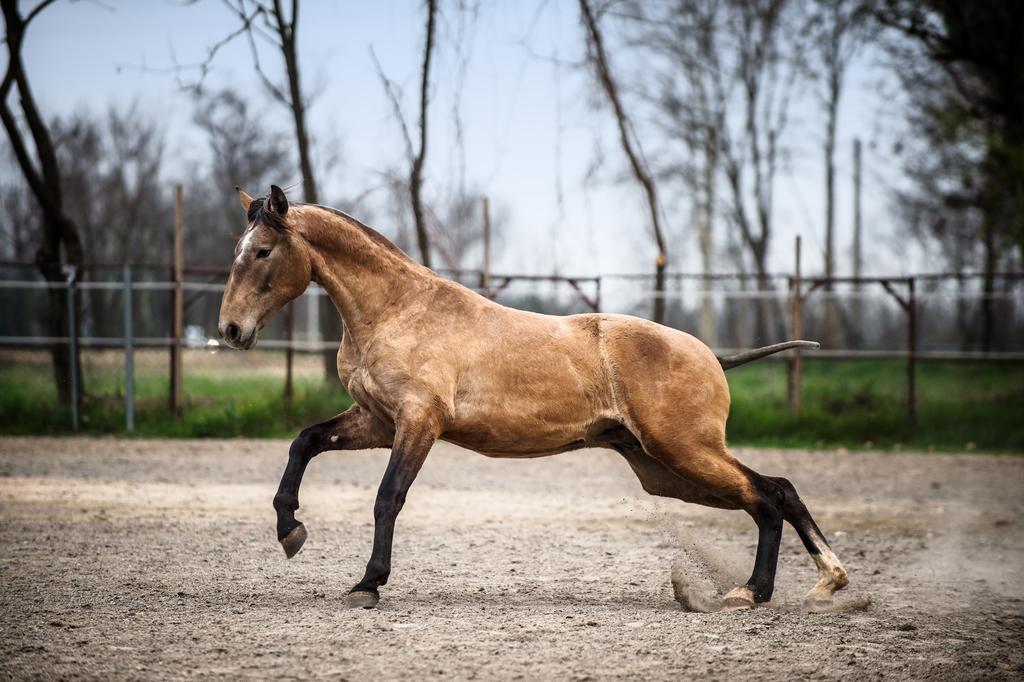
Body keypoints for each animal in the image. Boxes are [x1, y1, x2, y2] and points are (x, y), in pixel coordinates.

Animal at [216, 183, 847, 606]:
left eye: (263, 252)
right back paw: (818, 583)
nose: (231, 331)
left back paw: (757, 592)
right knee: (775, 492)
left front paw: (367, 585)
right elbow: (304, 442)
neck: (398, 311)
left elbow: (387, 497)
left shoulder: (418, 423)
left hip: (685, 452)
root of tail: (711, 356)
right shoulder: (376, 421)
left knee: (768, 494)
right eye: (238, 249)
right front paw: (290, 531)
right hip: (665, 470)